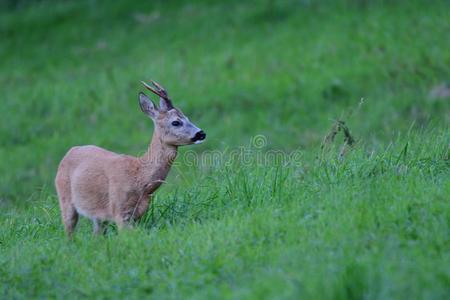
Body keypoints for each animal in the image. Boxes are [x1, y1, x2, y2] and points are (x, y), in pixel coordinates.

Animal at [54, 81, 206, 237]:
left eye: (187, 117)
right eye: (176, 122)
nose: (201, 134)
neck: (140, 176)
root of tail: (69, 152)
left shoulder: (138, 213)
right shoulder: (119, 209)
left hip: (98, 215)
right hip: (65, 197)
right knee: (69, 230)